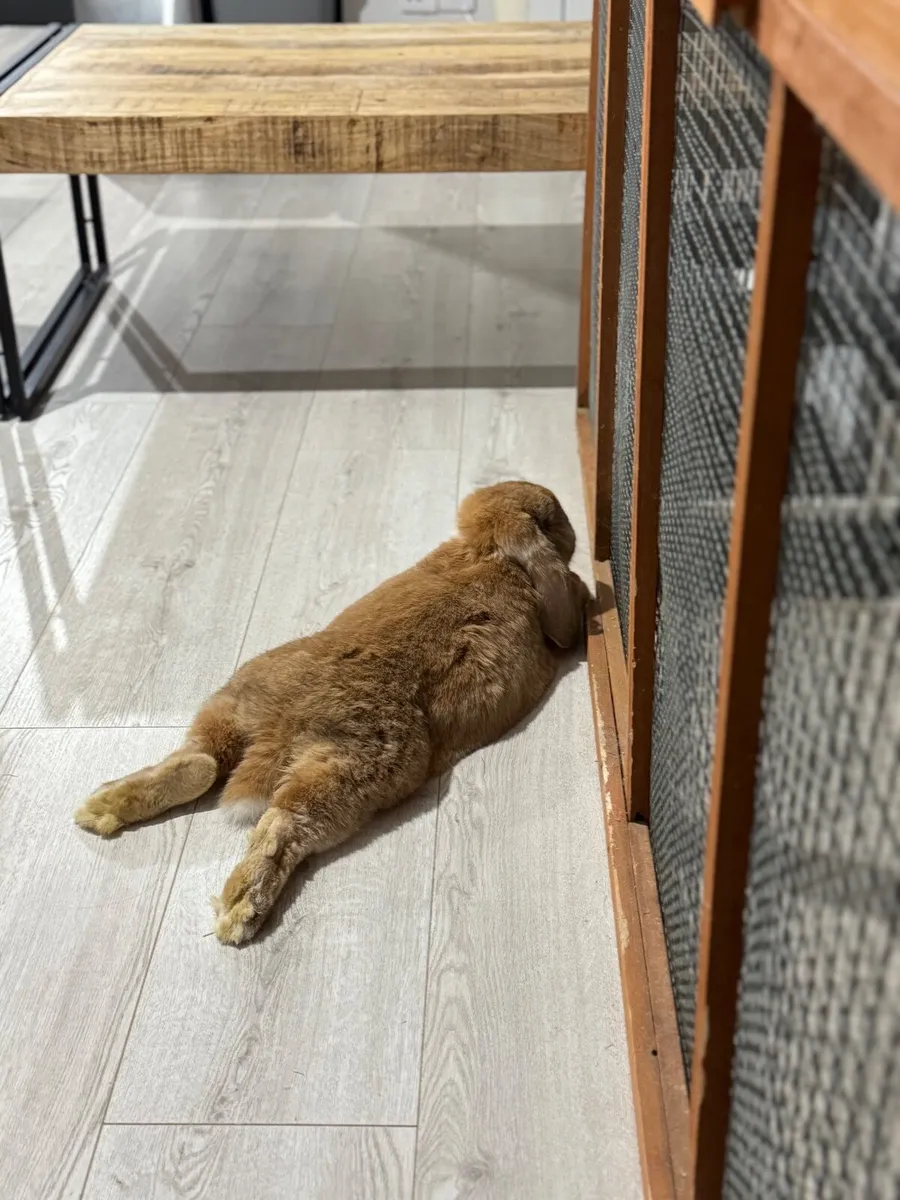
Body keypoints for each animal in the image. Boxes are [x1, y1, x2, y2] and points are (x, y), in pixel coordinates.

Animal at [73, 480, 591, 945]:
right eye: (556, 516)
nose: (573, 529)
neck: (488, 553)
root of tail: (281, 728)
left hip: (236, 703)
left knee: (200, 762)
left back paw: (101, 808)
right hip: (357, 771)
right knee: (282, 825)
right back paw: (240, 912)